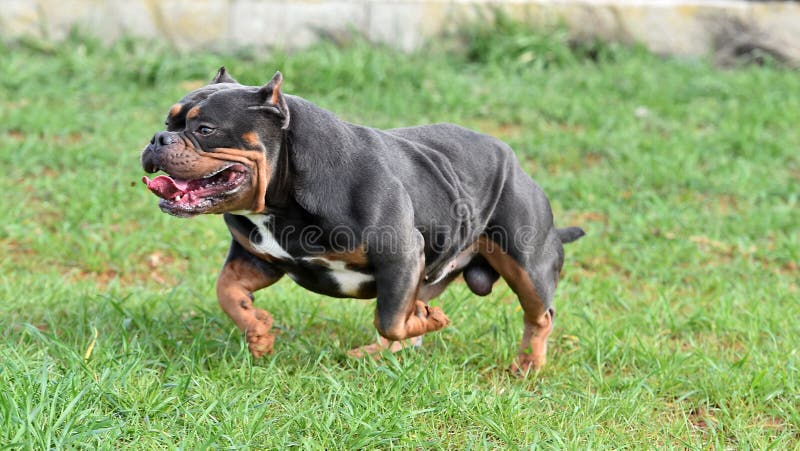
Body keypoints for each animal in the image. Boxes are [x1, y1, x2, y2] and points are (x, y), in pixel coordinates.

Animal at [141, 66, 584, 370]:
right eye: (167, 122)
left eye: (205, 129)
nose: (157, 138)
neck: (279, 200)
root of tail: (517, 163)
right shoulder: (256, 258)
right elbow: (227, 291)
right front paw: (260, 332)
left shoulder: (400, 256)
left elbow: (390, 319)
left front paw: (430, 322)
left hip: (525, 261)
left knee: (539, 315)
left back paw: (527, 365)